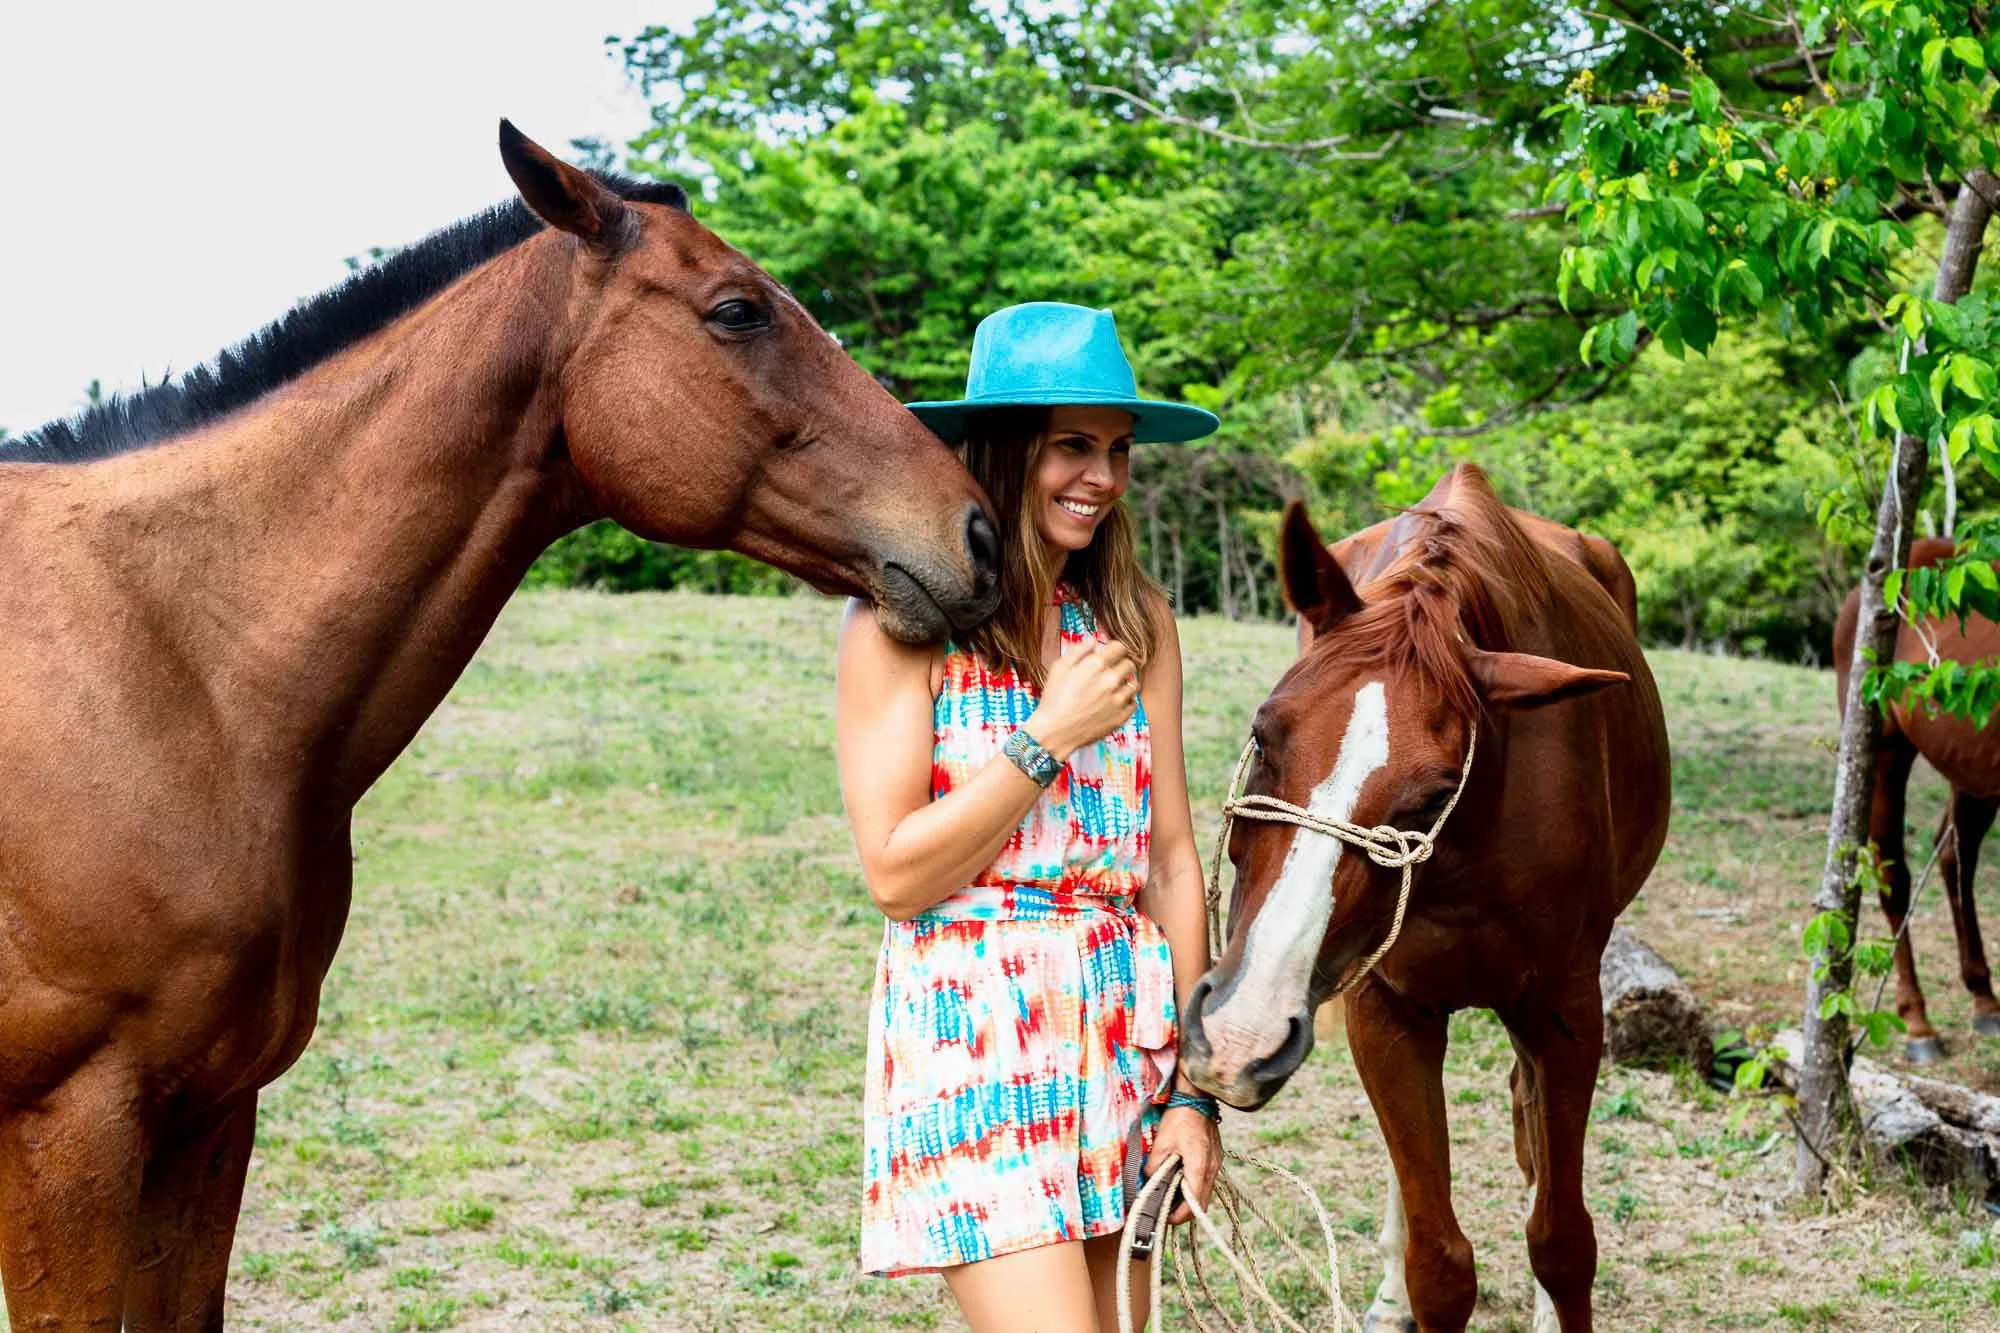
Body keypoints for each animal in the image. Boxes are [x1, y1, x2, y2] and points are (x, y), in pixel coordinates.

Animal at [1180, 464, 1671, 1333]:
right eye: (1264, 734)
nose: (1240, 1032)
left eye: (1432, 795)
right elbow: (1438, 1261)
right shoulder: (1386, 1008)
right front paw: (1405, 1284)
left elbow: (1563, 1240)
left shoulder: (1567, 1013)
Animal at [1835, 535, 2000, 1063]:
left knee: (1955, 858)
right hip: (1884, 752)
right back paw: (1918, 1024)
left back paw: (1985, 999)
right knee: (1896, 875)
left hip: (1970, 768)